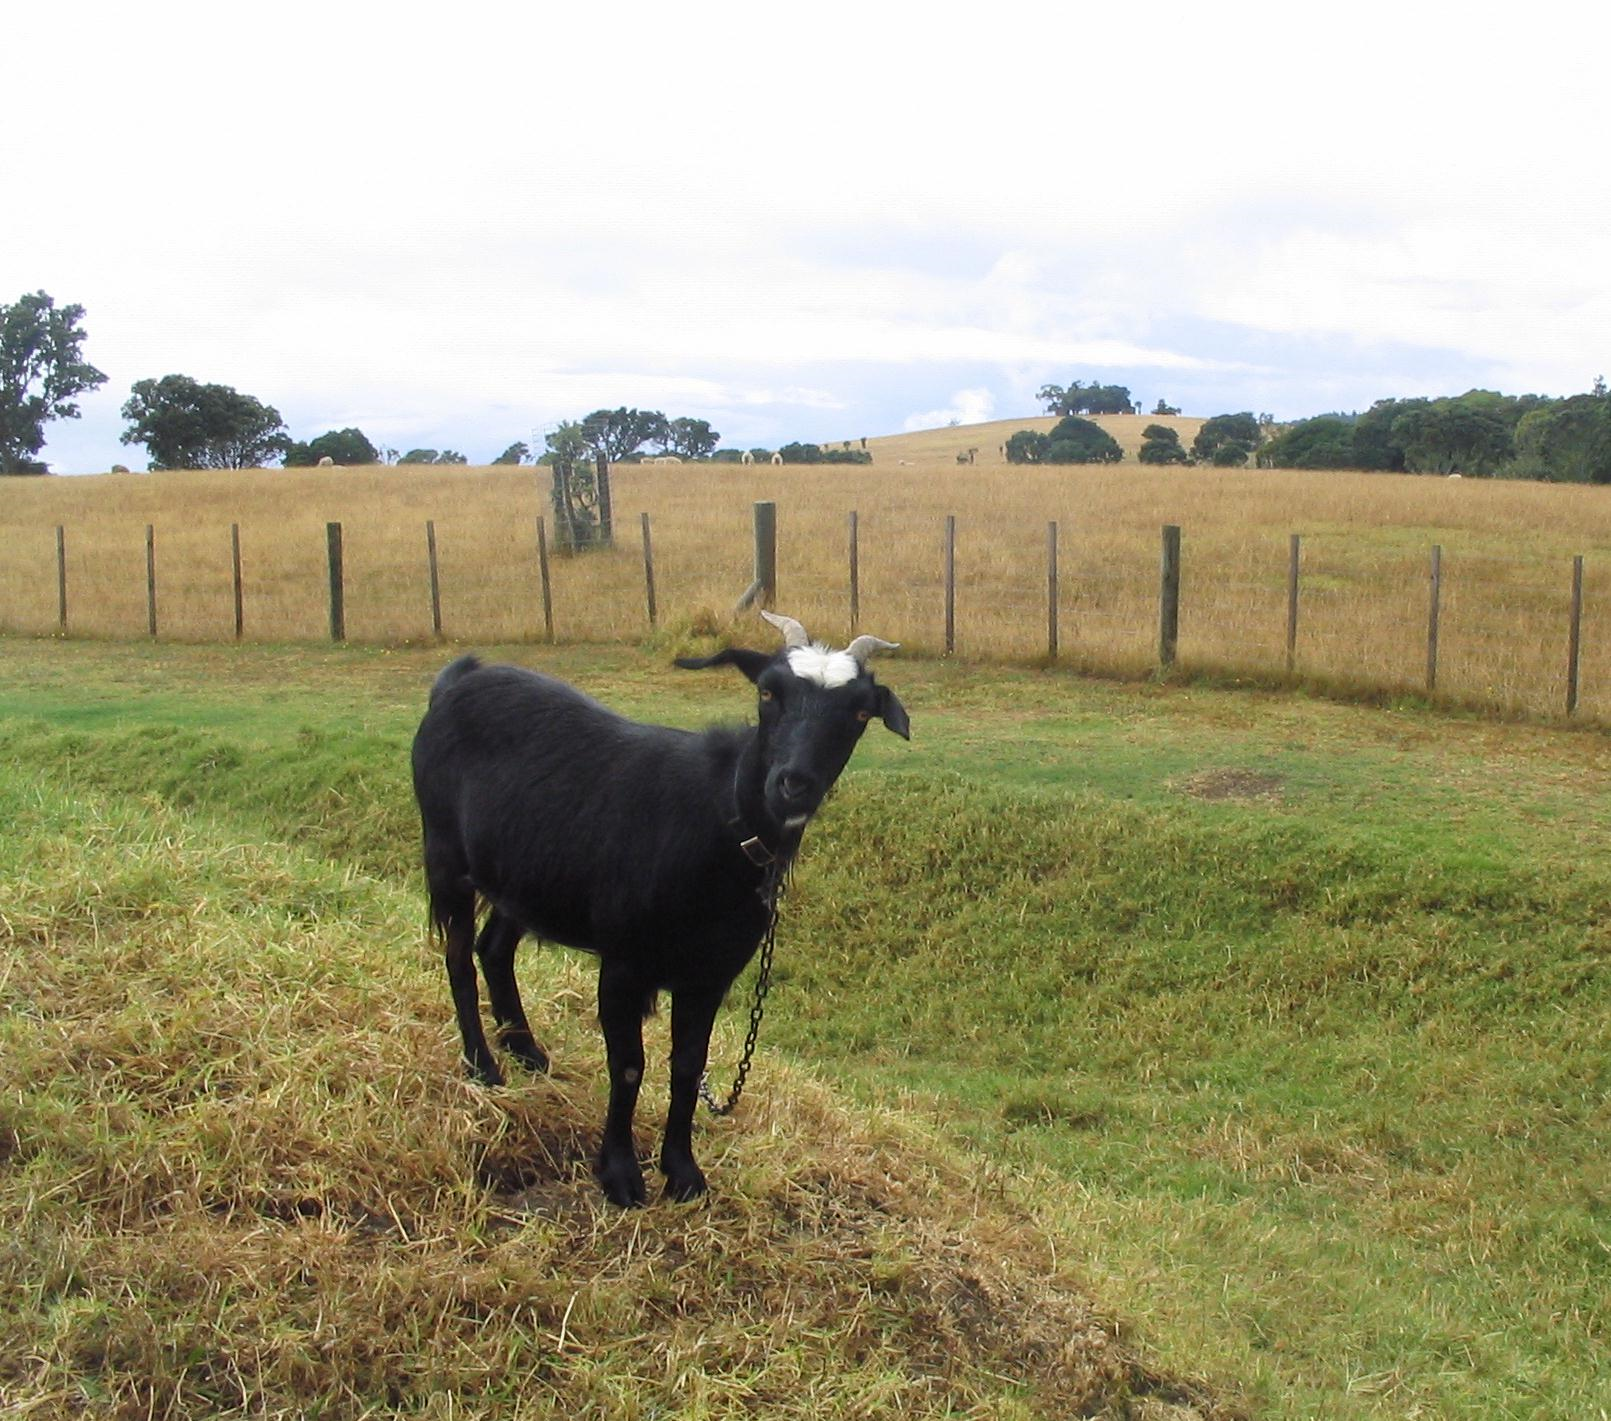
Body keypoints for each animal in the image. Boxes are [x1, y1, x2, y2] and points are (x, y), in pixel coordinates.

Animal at [410, 611, 909, 1206]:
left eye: (859, 712)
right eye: (768, 691)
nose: (794, 784)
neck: (721, 823)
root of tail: (456, 680)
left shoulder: (711, 975)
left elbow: (688, 1068)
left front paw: (683, 1173)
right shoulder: (625, 961)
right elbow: (629, 1066)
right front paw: (621, 1175)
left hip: (526, 873)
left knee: (494, 948)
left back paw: (526, 1051)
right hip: (446, 853)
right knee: (459, 958)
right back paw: (484, 1066)